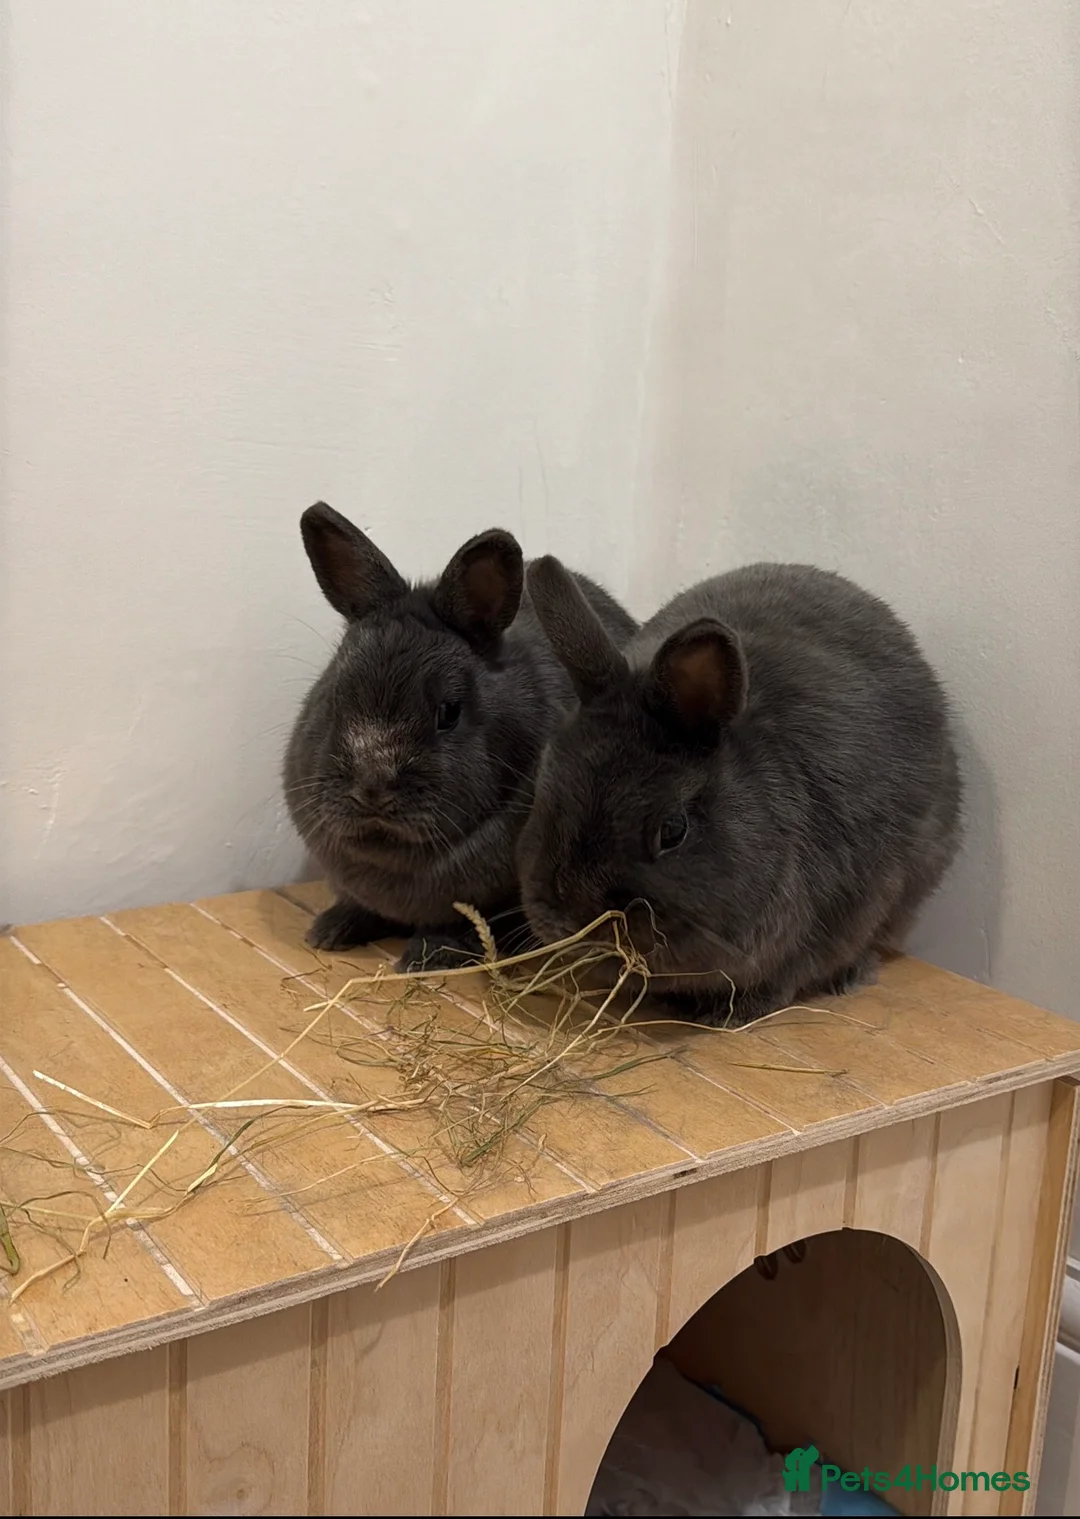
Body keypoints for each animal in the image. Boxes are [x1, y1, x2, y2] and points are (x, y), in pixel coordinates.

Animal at [283, 502, 637, 972]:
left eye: (448, 712)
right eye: (336, 696)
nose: (372, 788)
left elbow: (467, 919)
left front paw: (426, 956)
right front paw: (329, 931)